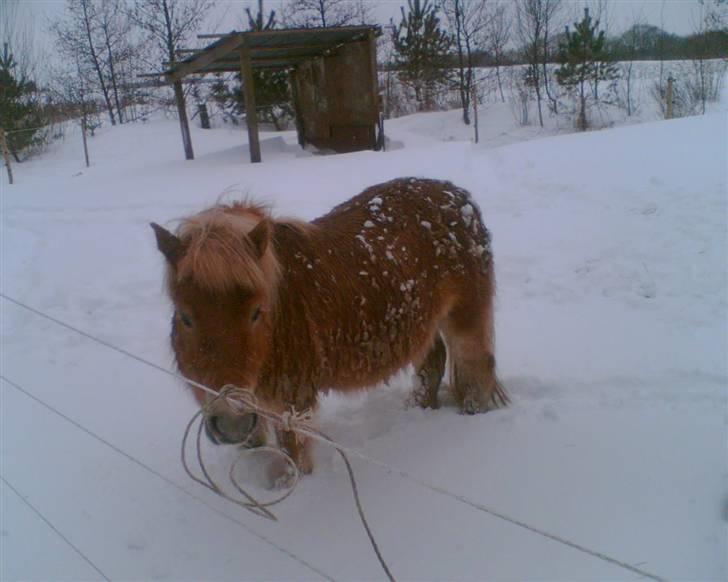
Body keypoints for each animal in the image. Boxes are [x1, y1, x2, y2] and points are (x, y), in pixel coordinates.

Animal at [152, 179, 506, 480]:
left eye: (256, 312)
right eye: (185, 316)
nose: (231, 422)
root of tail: (458, 195)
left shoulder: (294, 401)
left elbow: (295, 455)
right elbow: (254, 446)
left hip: (466, 320)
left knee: (477, 369)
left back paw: (472, 414)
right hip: (423, 325)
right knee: (431, 364)